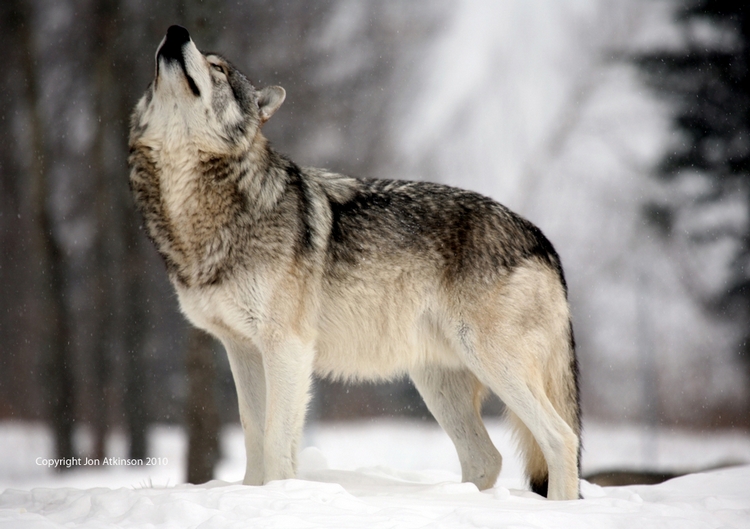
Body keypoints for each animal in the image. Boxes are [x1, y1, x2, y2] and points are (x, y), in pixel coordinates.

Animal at [129, 25, 581, 500]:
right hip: (438, 382)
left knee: (561, 438)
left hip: (494, 364)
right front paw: (254, 495)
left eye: (216, 67)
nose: (176, 31)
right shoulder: (242, 349)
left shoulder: (287, 347)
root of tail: (541, 238)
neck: (201, 212)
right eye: (158, 68)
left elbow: (274, 440)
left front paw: (279, 494)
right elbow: (253, 432)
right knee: (486, 457)